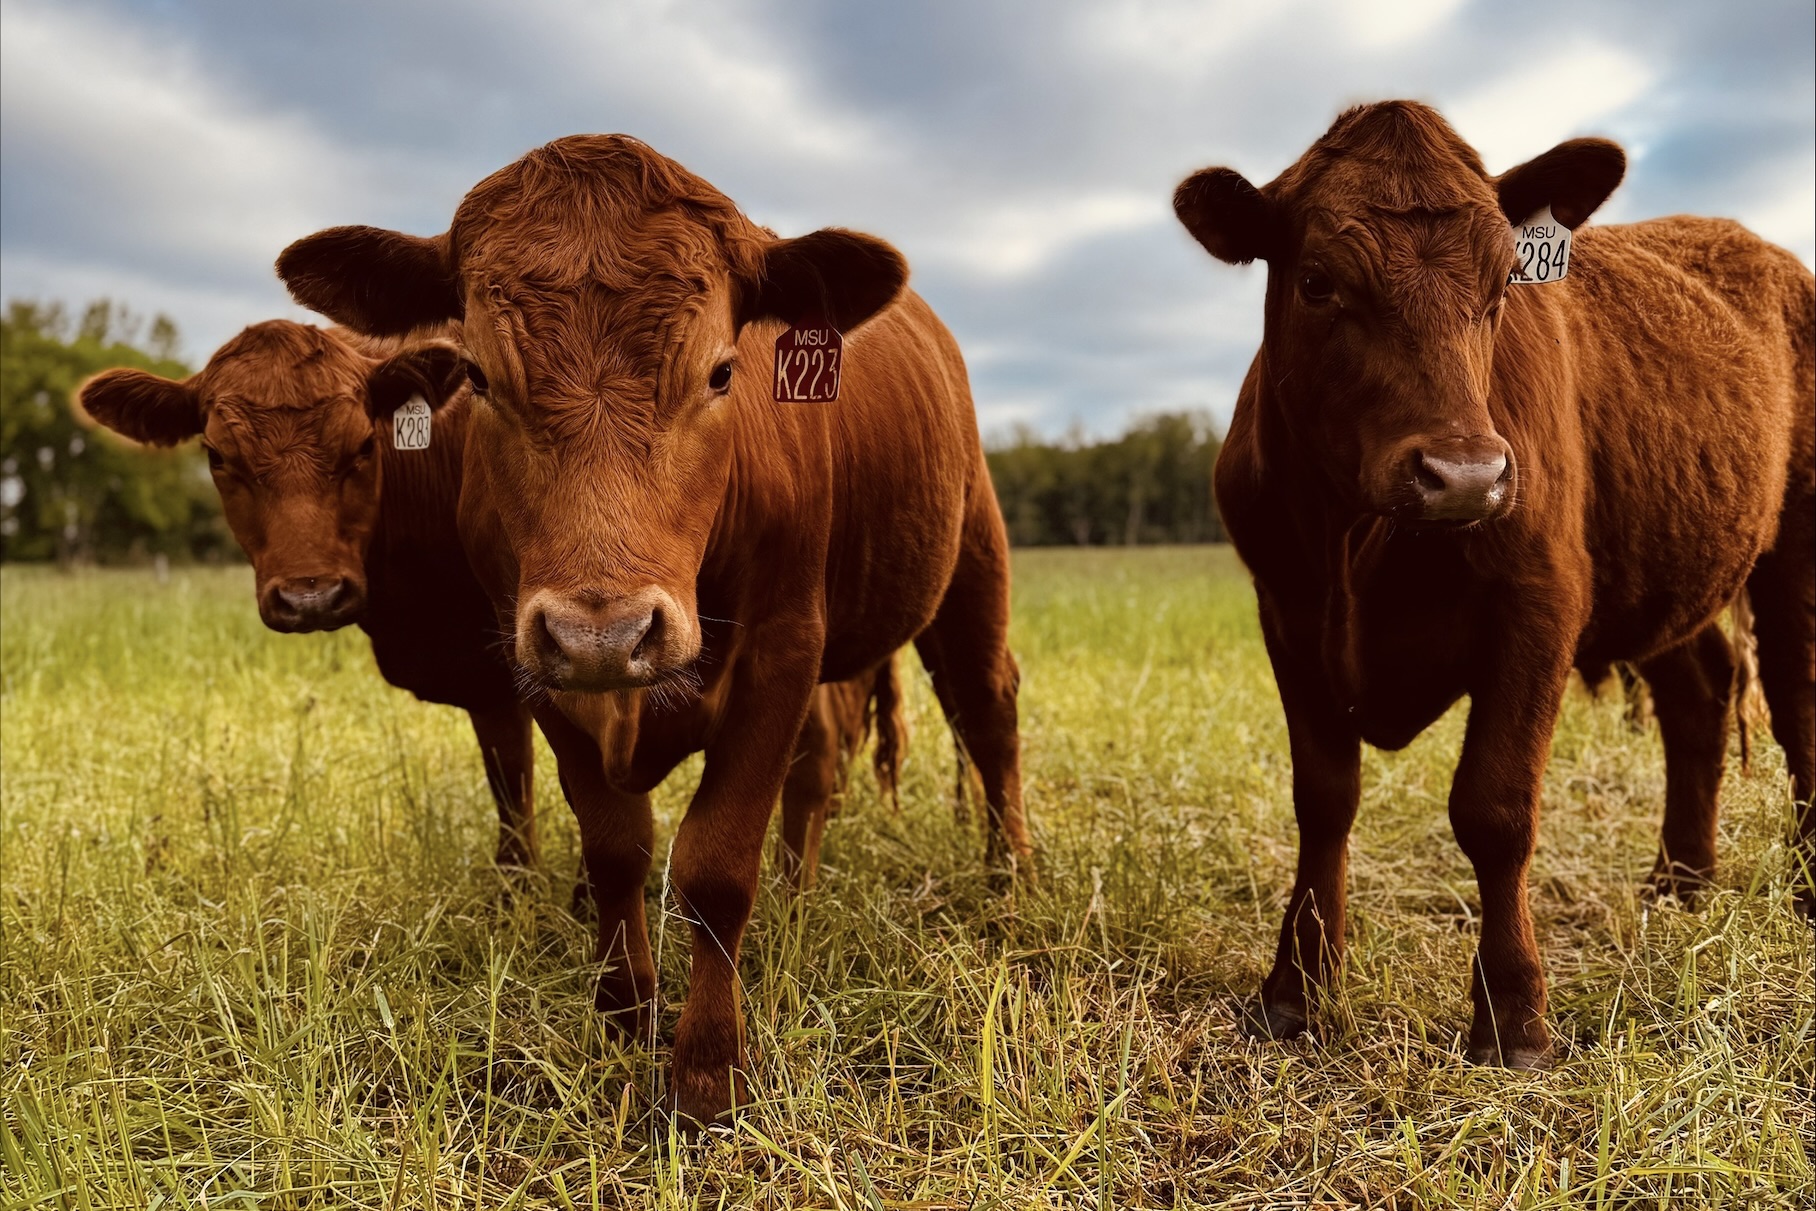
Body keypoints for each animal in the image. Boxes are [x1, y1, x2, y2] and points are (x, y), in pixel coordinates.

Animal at [75, 320, 910, 898]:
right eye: (220, 457)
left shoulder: (517, 670)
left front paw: (532, 900)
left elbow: (525, 788)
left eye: (361, 447)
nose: (310, 594)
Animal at [275, 135, 1030, 1124]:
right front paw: (624, 1012)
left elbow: (715, 863)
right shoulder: (533, 659)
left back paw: (1007, 888)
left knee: (989, 716)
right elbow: (616, 846)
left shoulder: (783, 647)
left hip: (970, 561)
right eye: (479, 377)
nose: (608, 632)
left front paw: (707, 1069)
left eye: (721, 371)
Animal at [1173, 101, 1814, 1069]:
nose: (1466, 476)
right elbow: (1323, 797)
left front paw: (1513, 1017)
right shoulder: (1287, 610)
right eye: (1317, 283)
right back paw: (1679, 883)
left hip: (1799, 545)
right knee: (1699, 695)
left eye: (1504, 283)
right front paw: (1296, 990)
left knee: (1799, 696)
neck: (1361, 538)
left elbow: (1495, 806)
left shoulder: (1540, 603)